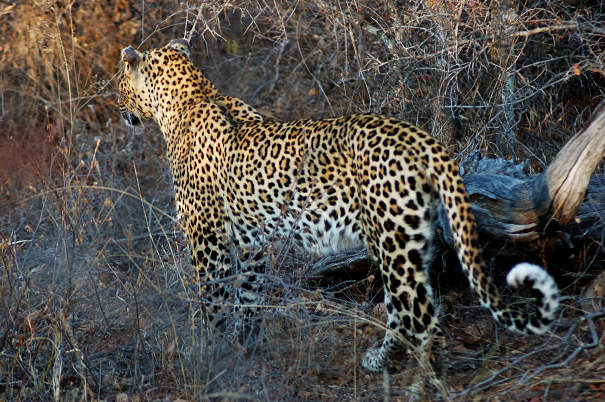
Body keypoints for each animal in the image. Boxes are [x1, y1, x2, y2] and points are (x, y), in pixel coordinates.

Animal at [117, 39, 556, 372]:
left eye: (120, 82)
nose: (119, 108)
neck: (190, 97)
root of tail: (421, 138)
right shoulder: (251, 243)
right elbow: (250, 297)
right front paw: (246, 347)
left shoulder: (208, 239)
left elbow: (214, 300)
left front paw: (212, 350)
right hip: (410, 240)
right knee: (406, 307)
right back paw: (379, 361)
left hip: (392, 242)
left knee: (421, 316)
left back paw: (424, 380)